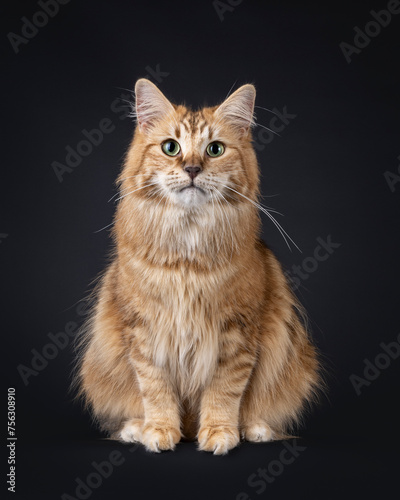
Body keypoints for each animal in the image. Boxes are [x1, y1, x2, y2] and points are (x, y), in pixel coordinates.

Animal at [74, 77, 318, 454]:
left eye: (215, 150)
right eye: (170, 148)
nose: (191, 169)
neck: (187, 263)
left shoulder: (237, 332)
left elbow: (224, 393)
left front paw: (220, 434)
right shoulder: (144, 333)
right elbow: (156, 391)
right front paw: (159, 432)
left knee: (255, 411)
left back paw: (253, 429)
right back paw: (137, 429)